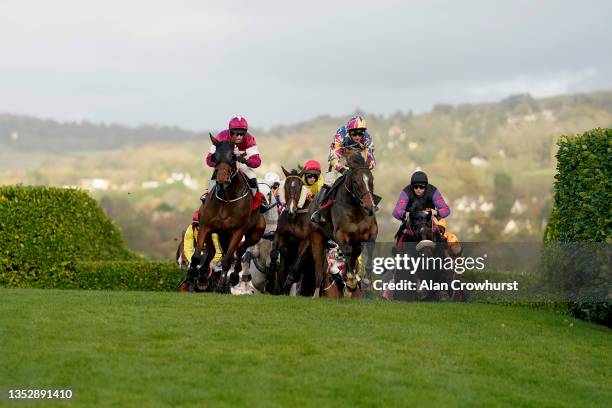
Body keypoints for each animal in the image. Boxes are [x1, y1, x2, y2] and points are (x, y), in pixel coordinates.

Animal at [189, 135, 266, 292]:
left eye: (233, 157)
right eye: (214, 156)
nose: (222, 181)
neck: (227, 199)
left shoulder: (237, 231)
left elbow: (227, 261)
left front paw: (221, 286)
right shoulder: (205, 226)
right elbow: (197, 255)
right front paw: (195, 274)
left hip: (254, 234)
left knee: (240, 251)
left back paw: (234, 277)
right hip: (220, 233)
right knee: (214, 252)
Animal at [310, 152, 378, 296]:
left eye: (371, 180)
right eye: (356, 182)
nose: (370, 207)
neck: (355, 209)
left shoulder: (370, 232)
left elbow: (367, 249)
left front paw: (366, 282)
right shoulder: (340, 234)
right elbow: (347, 251)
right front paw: (351, 281)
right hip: (316, 237)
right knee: (318, 268)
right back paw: (316, 293)